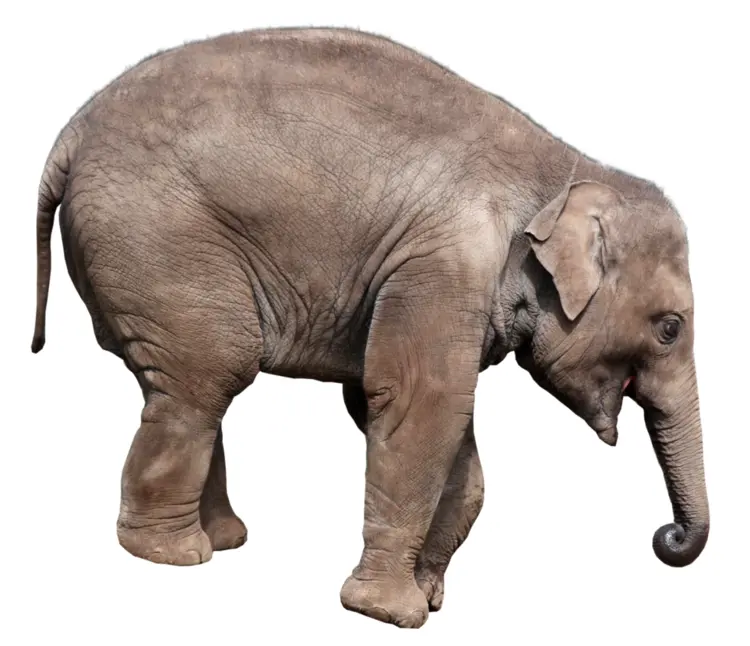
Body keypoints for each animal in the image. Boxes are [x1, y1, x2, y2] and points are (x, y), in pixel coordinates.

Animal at [31, 27, 709, 629]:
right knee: (209, 376)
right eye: (670, 328)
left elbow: (446, 428)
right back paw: (173, 555)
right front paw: (389, 613)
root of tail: (68, 137)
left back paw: (222, 539)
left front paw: (428, 597)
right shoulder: (444, 266)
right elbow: (418, 402)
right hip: (158, 242)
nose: (668, 535)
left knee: (187, 384)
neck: (567, 170)